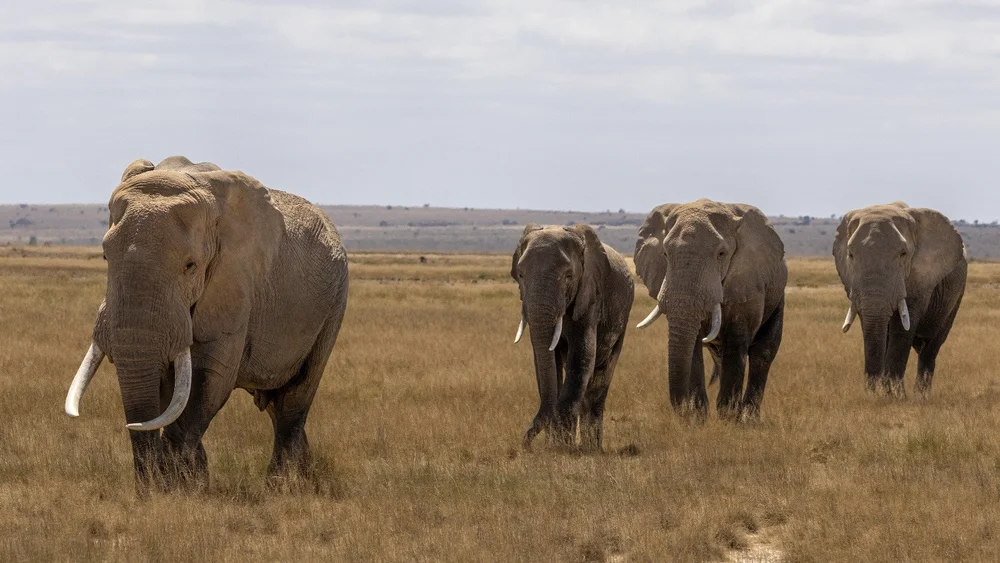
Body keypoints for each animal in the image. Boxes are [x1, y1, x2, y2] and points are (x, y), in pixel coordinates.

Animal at [64, 156, 349, 490]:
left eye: (191, 266)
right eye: (105, 257)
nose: (147, 490)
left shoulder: (235, 281)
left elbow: (210, 377)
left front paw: (179, 489)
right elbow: (169, 389)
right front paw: (187, 484)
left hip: (335, 301)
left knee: (295, 398)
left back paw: (281, 487)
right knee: (276, 405)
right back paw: (306, 479)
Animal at [510, 224, 634, 451]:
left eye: (568, 276)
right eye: (520, 275)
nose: (526, 445)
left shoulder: (590, 294)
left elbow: (582, 355)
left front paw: (562, 449)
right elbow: (545, 361)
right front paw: (556, 445)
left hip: (623, 320)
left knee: (600, 379)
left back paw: (593, 449)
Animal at [633, 199, 787, 421]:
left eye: (721, 254)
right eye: (665, 254)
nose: (681, 411)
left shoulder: (748, 280)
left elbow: (736, 342)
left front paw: (728, 418)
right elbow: (694, 348)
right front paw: (698, 417)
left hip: (777, 296)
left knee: (763, 353)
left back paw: (748, 418)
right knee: (720, 355)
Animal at [833, 202, 966, 397]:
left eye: (903, 254)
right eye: (850, 255)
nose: (871, 393)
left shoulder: (917, 278)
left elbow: (901, 329)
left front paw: (895, 397)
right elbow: (872, 326)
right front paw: (881, 395)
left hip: (956, 295)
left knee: (931, 346)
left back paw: (921, 397)